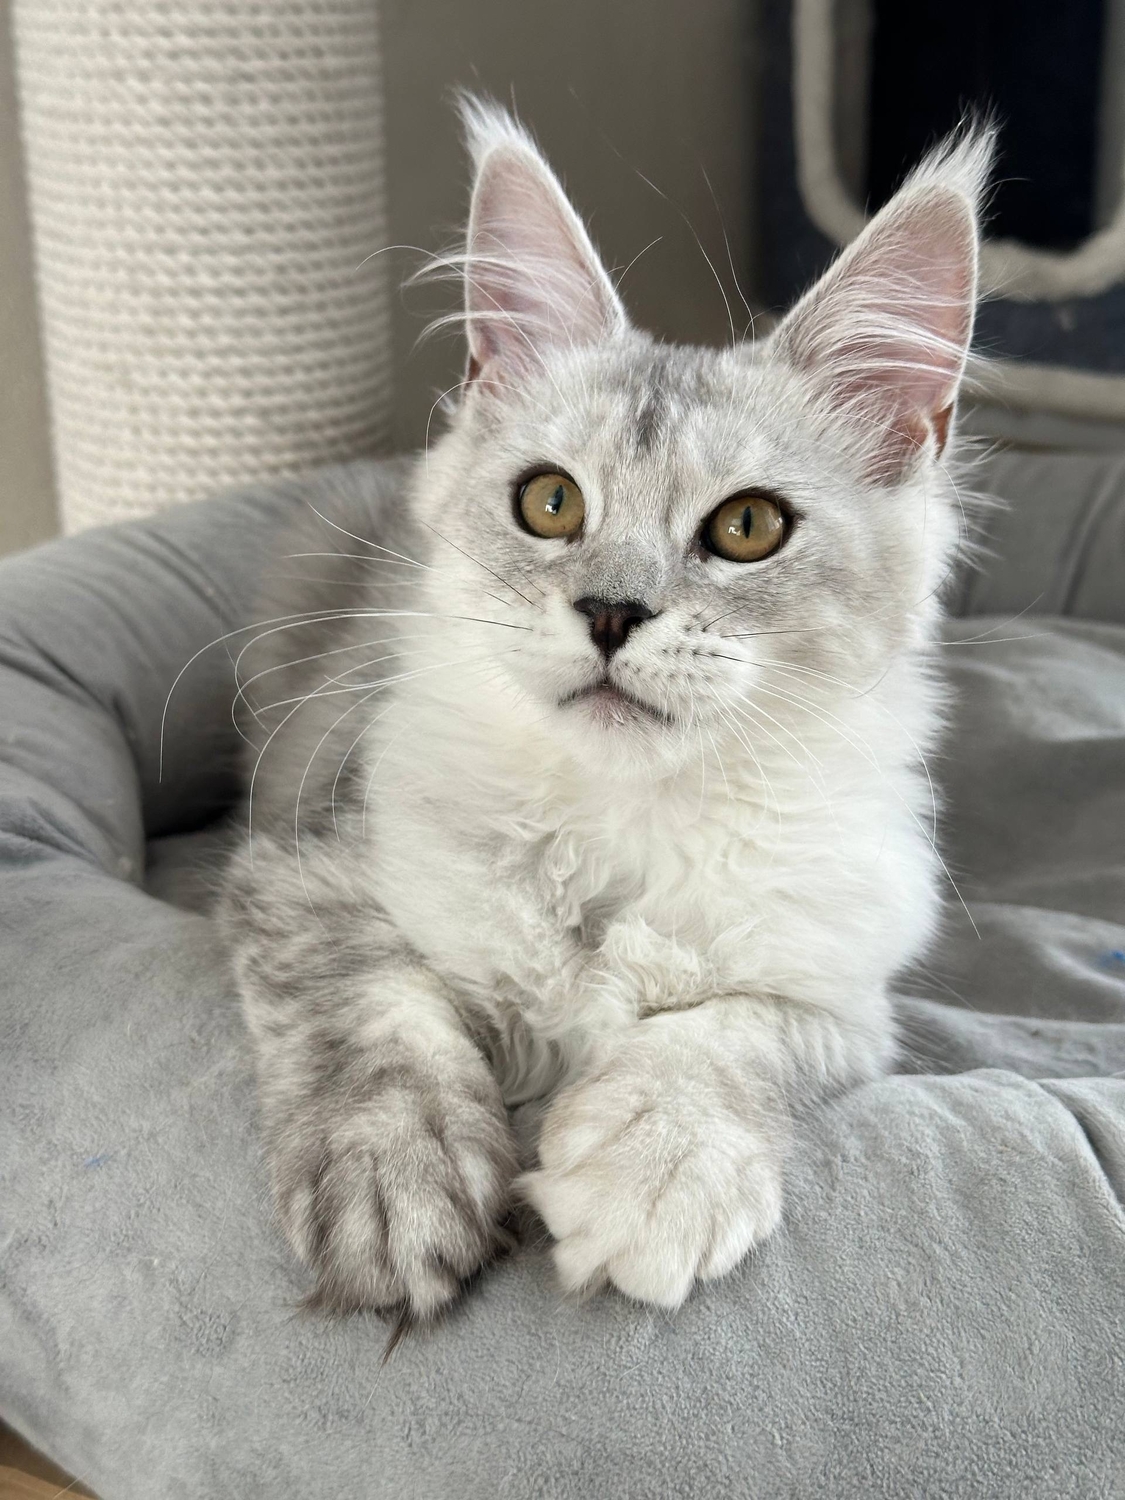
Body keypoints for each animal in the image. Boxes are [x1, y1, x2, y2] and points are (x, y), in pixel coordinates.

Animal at [219, 98, 991, 1319]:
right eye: (550, 503)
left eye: (747, 528)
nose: (612, 612)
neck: (626, 820)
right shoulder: (303, 867)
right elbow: (374, 1015)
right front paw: (399, 1177)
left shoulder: (840, 999)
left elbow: (719, 1037)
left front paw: (652, 1170)